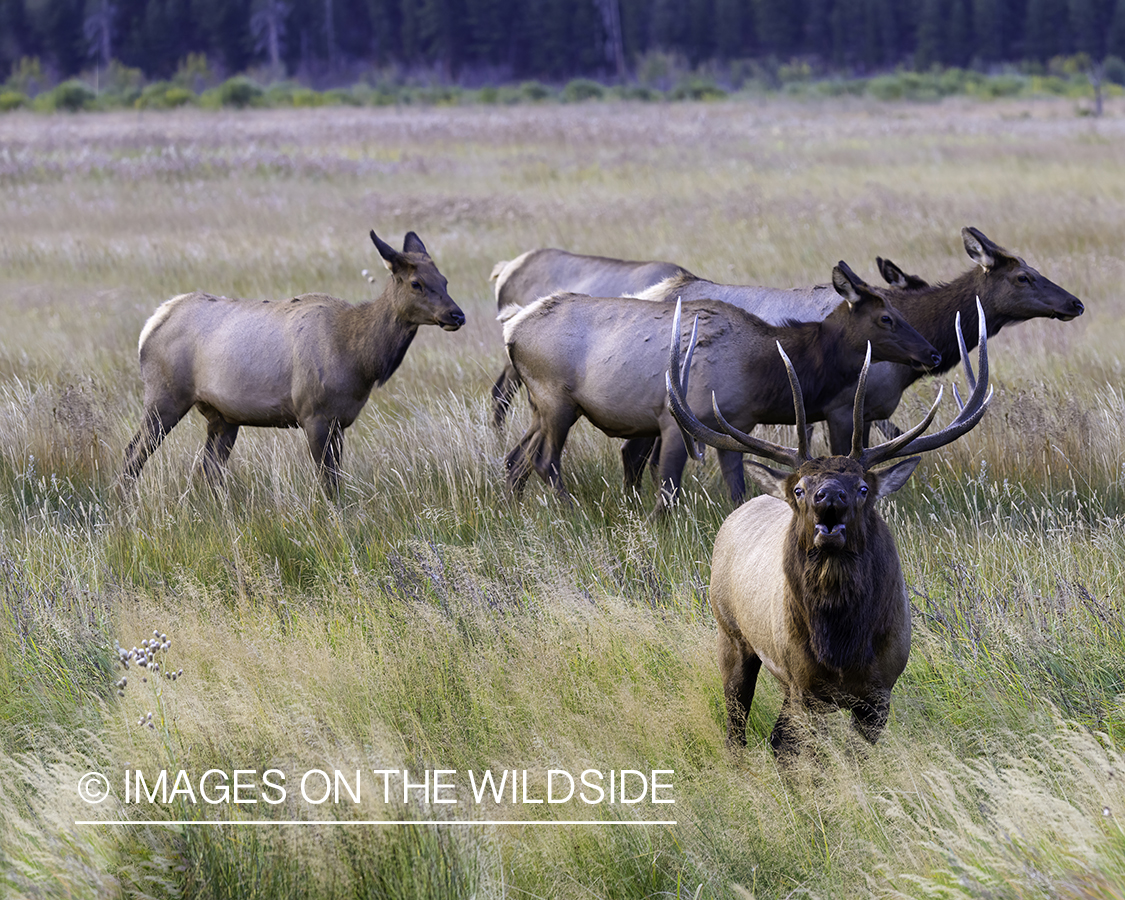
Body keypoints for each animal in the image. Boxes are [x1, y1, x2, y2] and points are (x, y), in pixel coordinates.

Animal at [125, 225, 468, 492]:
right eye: (416, 283)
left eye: (445, 280)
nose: (457, 315)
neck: (360, 360)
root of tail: (150, 325)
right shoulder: (313, 414)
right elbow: (328, 484)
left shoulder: (339, 421)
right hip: (165, 396)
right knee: (133, 453)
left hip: (222, 416)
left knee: (206, 472)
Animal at [504, 259, 940, 513]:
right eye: (886, 318)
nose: (932, 353)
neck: (761, 371)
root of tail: (512, 329)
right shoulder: (673, 420)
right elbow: (667, 490)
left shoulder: (737, 425)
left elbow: (737, 489)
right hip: (556, 401)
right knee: (545, 461)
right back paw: (570, 510)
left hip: (539, 407)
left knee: (516, 458)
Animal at [666, 299, 994, 756]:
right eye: (800, 489)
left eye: (862, 488)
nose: (829, 496)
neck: (842, 649)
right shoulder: (804, 684)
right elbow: (798, 751)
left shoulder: (880, 690)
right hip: (729, 632)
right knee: (738, 723)